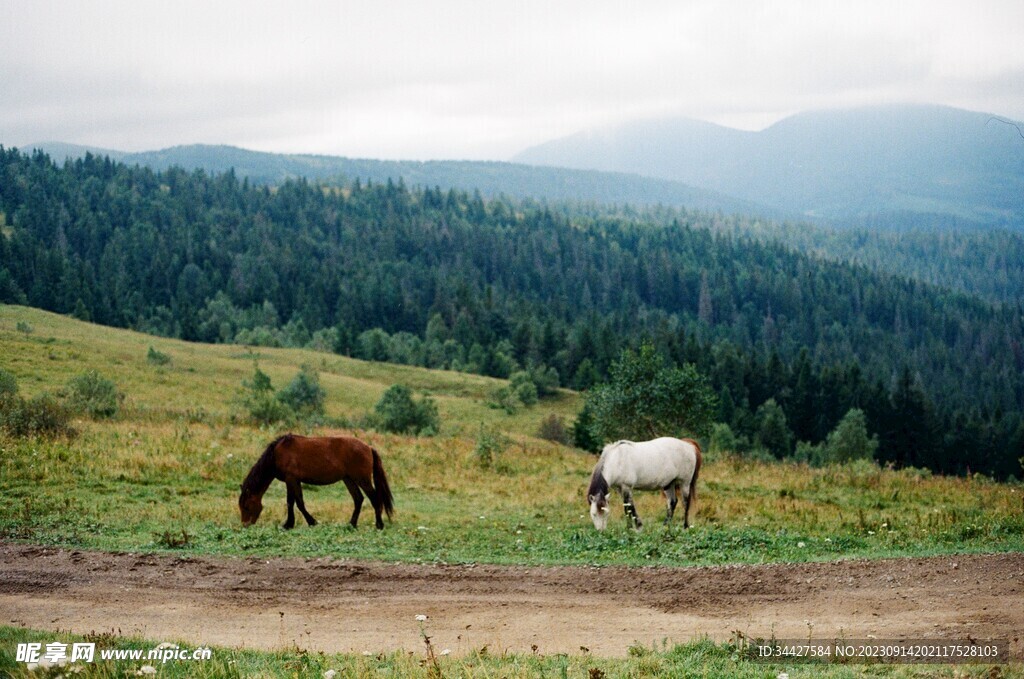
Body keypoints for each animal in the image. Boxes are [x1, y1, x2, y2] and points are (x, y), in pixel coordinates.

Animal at [239, 434, 394, 530]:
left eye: (246, 506)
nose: (245, 525)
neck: (277, 454)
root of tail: (369, 447)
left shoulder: (291, 479)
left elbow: (297, 503)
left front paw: (309, 522)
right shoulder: (293, 481)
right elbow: (293, 502)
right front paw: (290, 523)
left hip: (362, 479)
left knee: (374, 498)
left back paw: (379, 525)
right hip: (348, 479)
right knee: (358, 499)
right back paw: (351, 524)